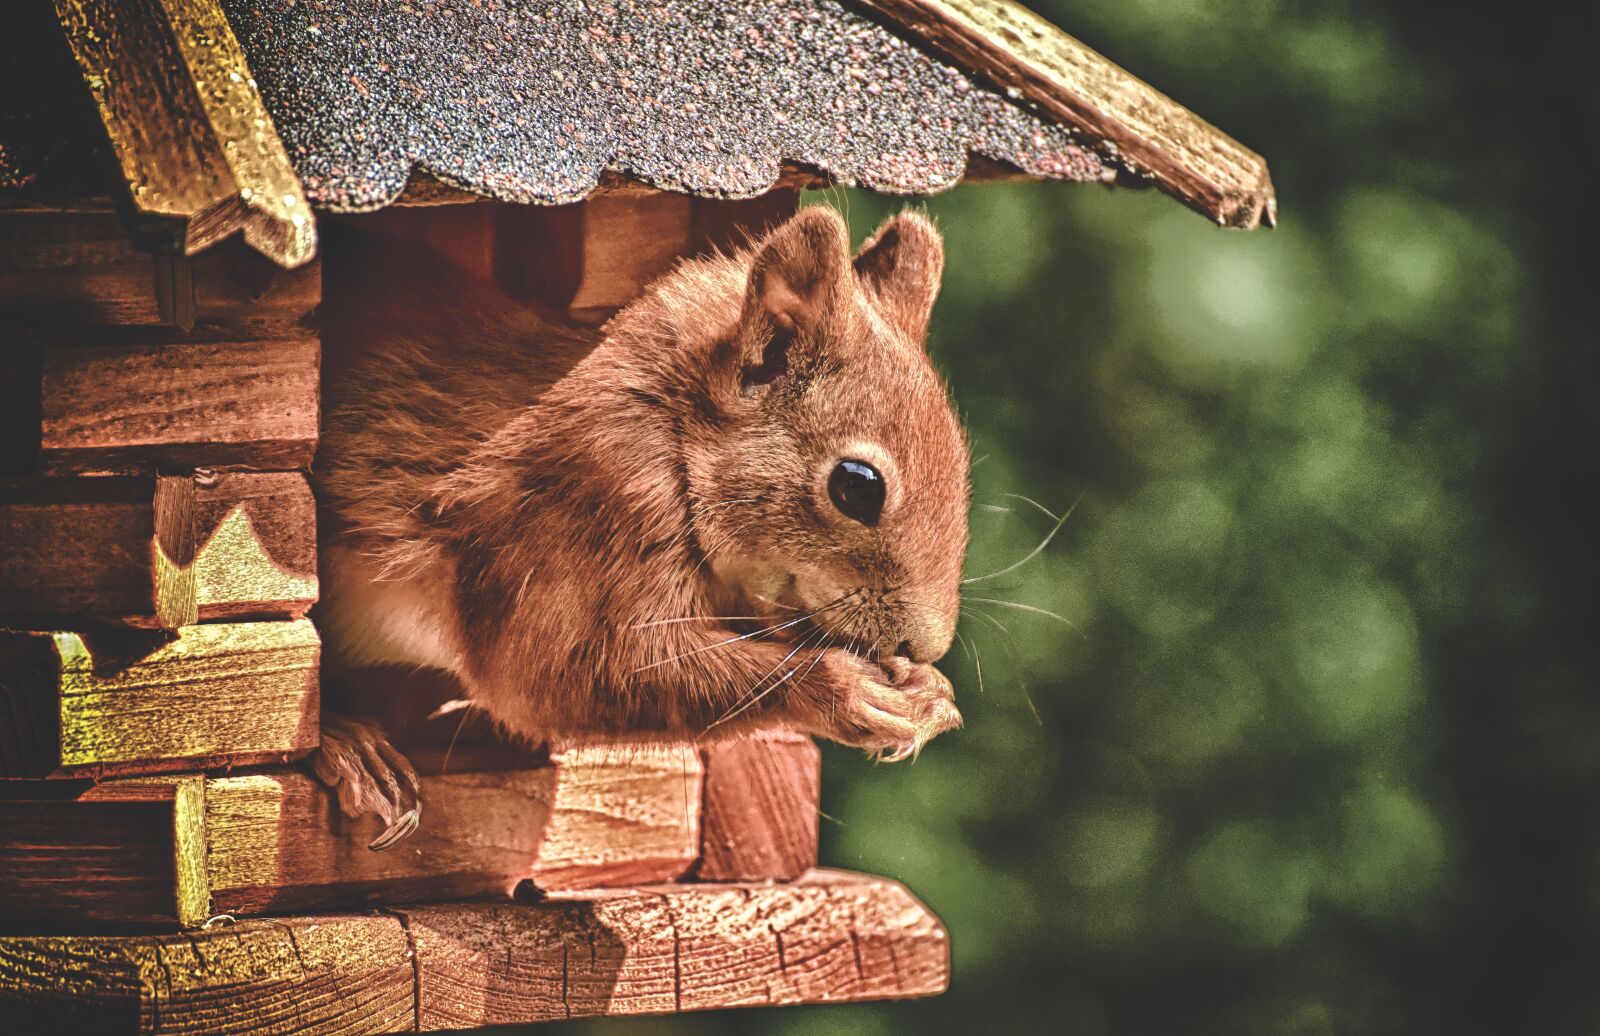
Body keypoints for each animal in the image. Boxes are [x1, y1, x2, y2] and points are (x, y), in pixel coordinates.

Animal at [312, 206, 968, 846]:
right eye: (857, 486)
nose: (921, 645)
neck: (672, 424)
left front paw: (930, 692)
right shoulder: (584, 504)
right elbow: (559, 672)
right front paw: (846, 688)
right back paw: (349, 745)